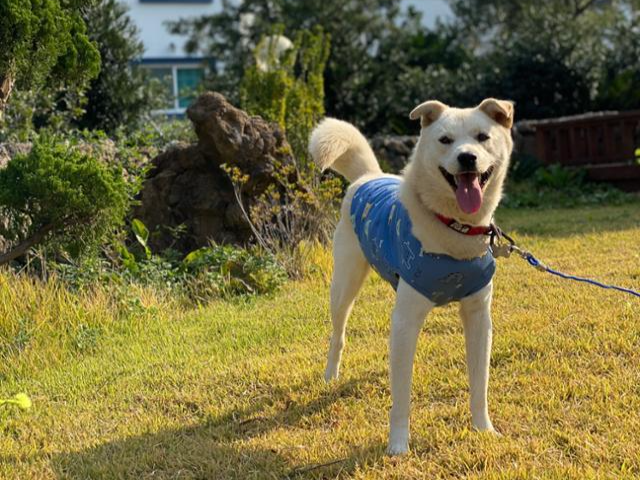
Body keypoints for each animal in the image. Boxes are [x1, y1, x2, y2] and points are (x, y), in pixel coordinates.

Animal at [308, 97, 512, 454]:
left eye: (482, 137)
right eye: (445, 140)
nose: (467, 157)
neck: (454, 227)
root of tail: (369, 176)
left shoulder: (478, 318)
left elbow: (479, 383)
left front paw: (483, 429)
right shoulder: (405, 320)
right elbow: (401, 396)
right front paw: (398, 446)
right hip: (344, 284)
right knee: (338, 334)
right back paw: (331, 374)